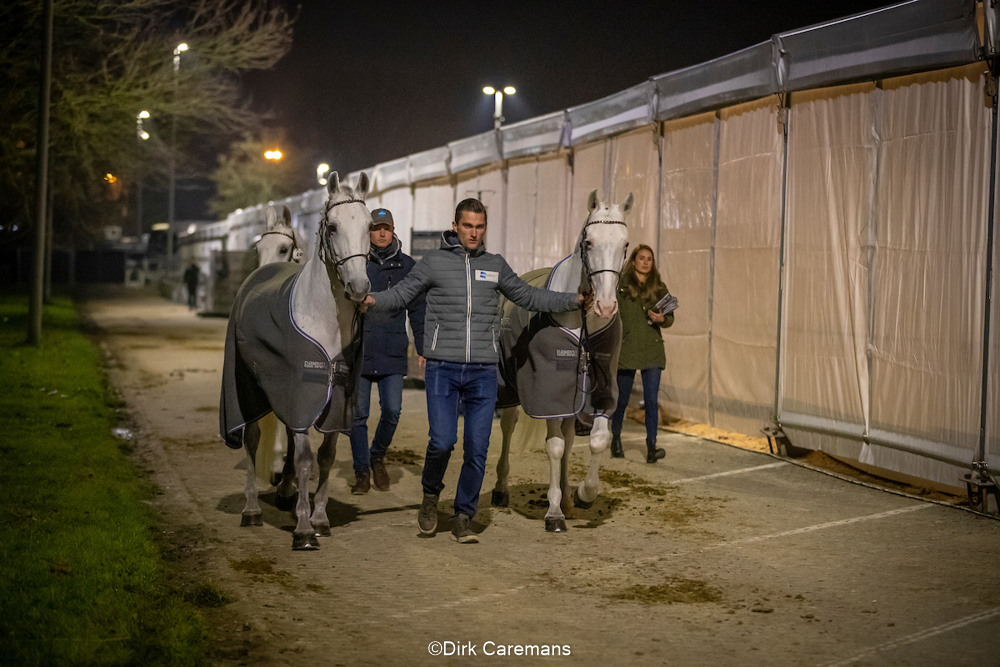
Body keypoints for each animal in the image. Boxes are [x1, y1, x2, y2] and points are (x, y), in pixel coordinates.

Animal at [222, 175, 372, 552]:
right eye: (332, 227)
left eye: (369, 226)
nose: (359, 287)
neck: (323, 319)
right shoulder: (299, 393)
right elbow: (304, 458)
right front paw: (304, 529)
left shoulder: (335, 402)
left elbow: (326, 456)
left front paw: (319, 517)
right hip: (248, 386)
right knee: (252, 437)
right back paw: (251, 509)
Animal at [494, 192, 632, 532]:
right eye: (588, 242)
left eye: (625, 244)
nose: (606, 305)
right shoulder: (547, 394)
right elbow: (554, 447)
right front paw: (554, 512)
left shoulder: (600, 391)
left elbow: (597, 440)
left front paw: (583, 494)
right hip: (510, 389)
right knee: (508, 426)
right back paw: (501, 489)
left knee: (570, 438)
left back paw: (570, 498)